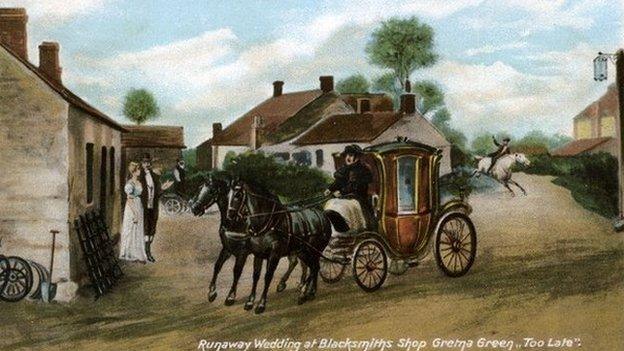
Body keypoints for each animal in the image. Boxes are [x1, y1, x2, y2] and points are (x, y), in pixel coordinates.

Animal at [190, 176, 308, 308]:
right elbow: (217, 266)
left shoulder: (243, 252)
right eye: (199, 188)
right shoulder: (227, 248)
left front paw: (230, 297)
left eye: (211, 191)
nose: (194, 208)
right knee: (297, 262)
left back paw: (301, 286)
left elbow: (237, 271)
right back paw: (292, 284)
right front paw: (212, 293)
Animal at [228, 179, 334, 314]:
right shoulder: (258, 254)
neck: (268, 222)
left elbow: (268, 276)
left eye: (238, 195)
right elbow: (256, 276)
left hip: (312, 251)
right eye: (228, 195)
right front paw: (250, 301)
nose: (230, 215)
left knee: (314, 267)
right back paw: (310, 292)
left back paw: (303, 293)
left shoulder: (274, 255)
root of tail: (323, 215)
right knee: (314, 267)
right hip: (304, 252)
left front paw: (261, 304)